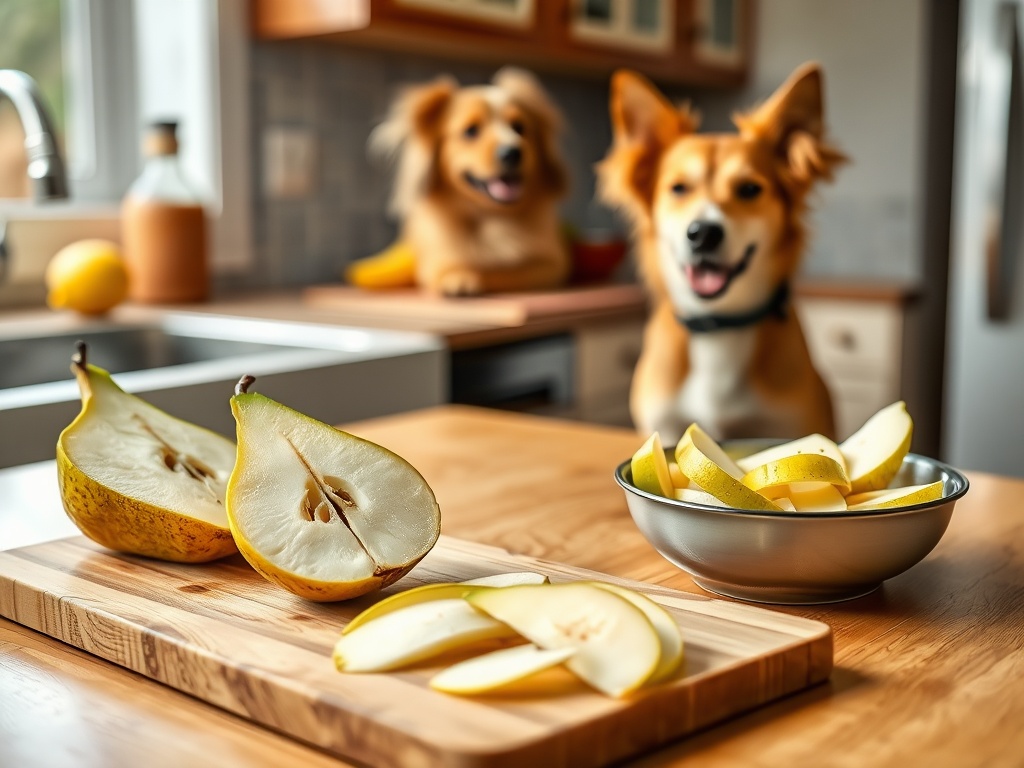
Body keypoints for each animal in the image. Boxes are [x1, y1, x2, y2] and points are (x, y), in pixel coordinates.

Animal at [372, 67, 573, 296]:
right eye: (470, 131)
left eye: (519, 127)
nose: (513, 152)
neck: (491, 218)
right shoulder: (434, 260)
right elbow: (445, 268)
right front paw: (458, 277)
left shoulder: (552, 263)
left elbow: (509, 272)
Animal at [598, 64, 843, 444]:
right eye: (678, 188)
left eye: (749, 189)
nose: (703, 233)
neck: (718, 326)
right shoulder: (665, 427)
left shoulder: (791, 426)